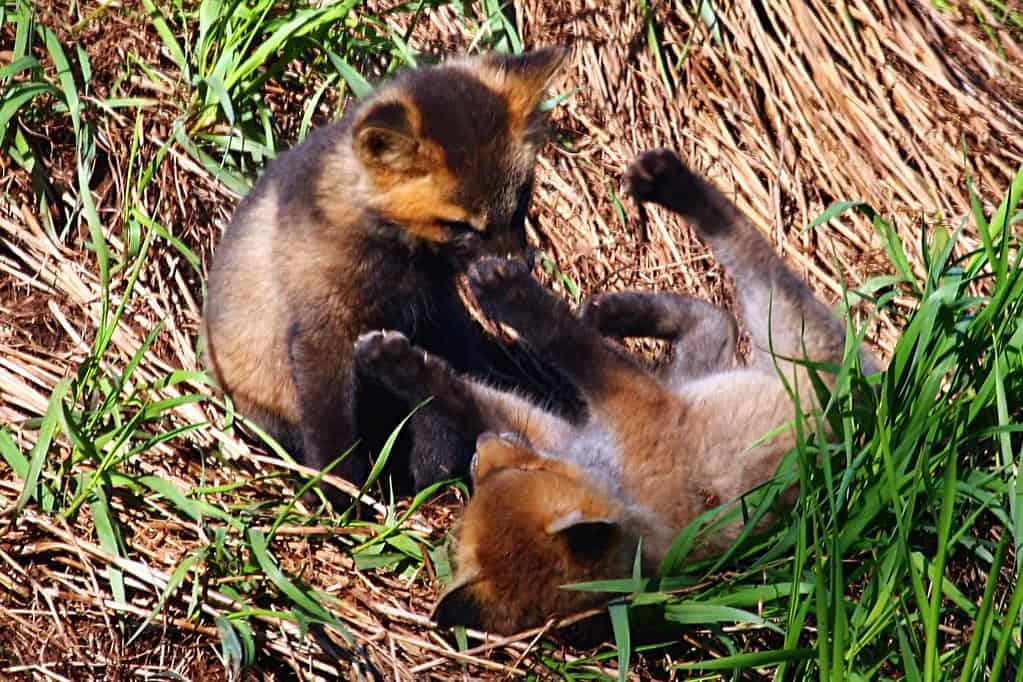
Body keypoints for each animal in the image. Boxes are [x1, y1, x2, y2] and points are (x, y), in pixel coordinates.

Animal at [203, 48, 568, 501]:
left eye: (520, 201)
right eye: (460, 225)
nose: (517, 265)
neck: (399, 260)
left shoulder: (431, 318)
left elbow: (433, 409)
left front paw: (430, 479)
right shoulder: (322, 331)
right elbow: (330, 429)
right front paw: (341, 495)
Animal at [354, 148, 881, 634]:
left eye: (521, 471)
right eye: (481, 481)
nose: (482, 450)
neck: (618, 485)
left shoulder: (623, 402)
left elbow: (563, 345)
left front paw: (504, 302)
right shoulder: (568, 424)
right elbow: (469, 395)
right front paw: (397, 364)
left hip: (784, 328)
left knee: (745, 249)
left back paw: (662, 200)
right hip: (719, 367)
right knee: (715, 320)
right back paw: (623, 299)